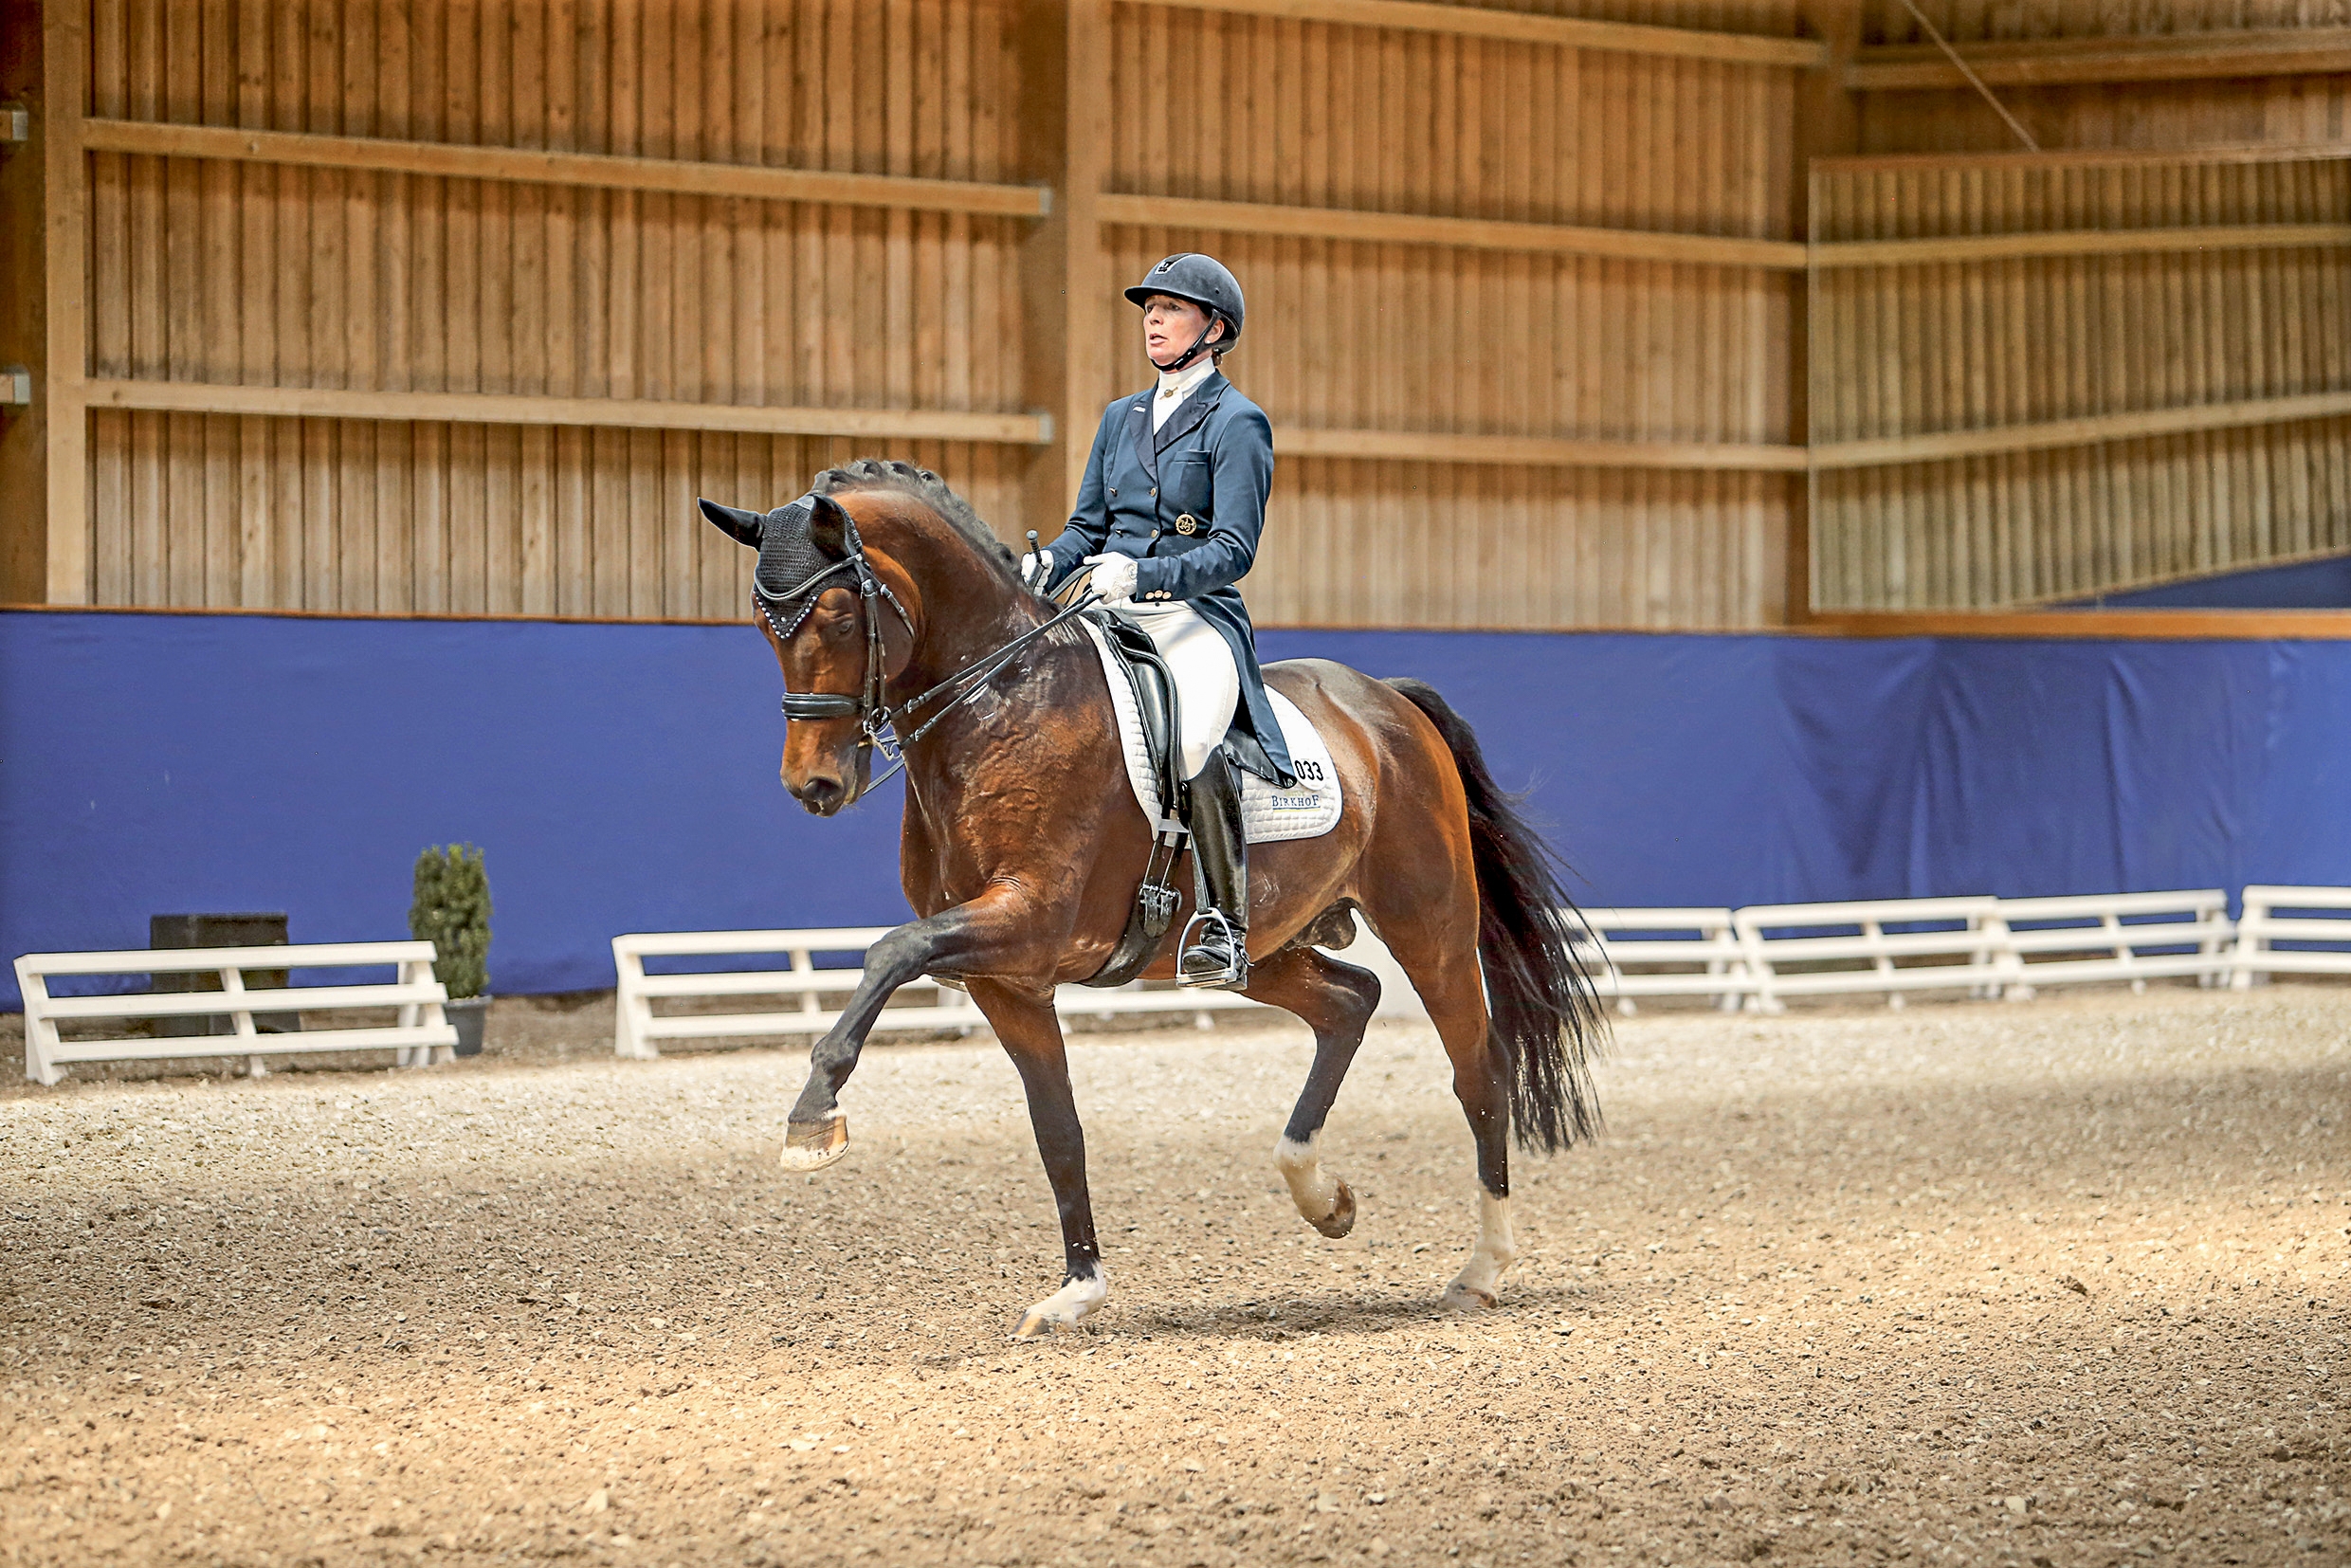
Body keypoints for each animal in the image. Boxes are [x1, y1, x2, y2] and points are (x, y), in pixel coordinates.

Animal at [705, 461, 1608, 1344]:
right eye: (763, 626)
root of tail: (1384, 700)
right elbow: (1057, 1130)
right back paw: (1323, 1197)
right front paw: (1078, 1292)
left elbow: (891, 950)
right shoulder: (1009, 978)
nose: (815, 787)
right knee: (1350, 1001)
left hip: (1432, 926)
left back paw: (1481, 1270)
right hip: (1251, 947)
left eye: (836, 618)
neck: (1001, 702)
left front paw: (813, 1118)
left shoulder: (1027, 920)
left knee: (1477, 1069)